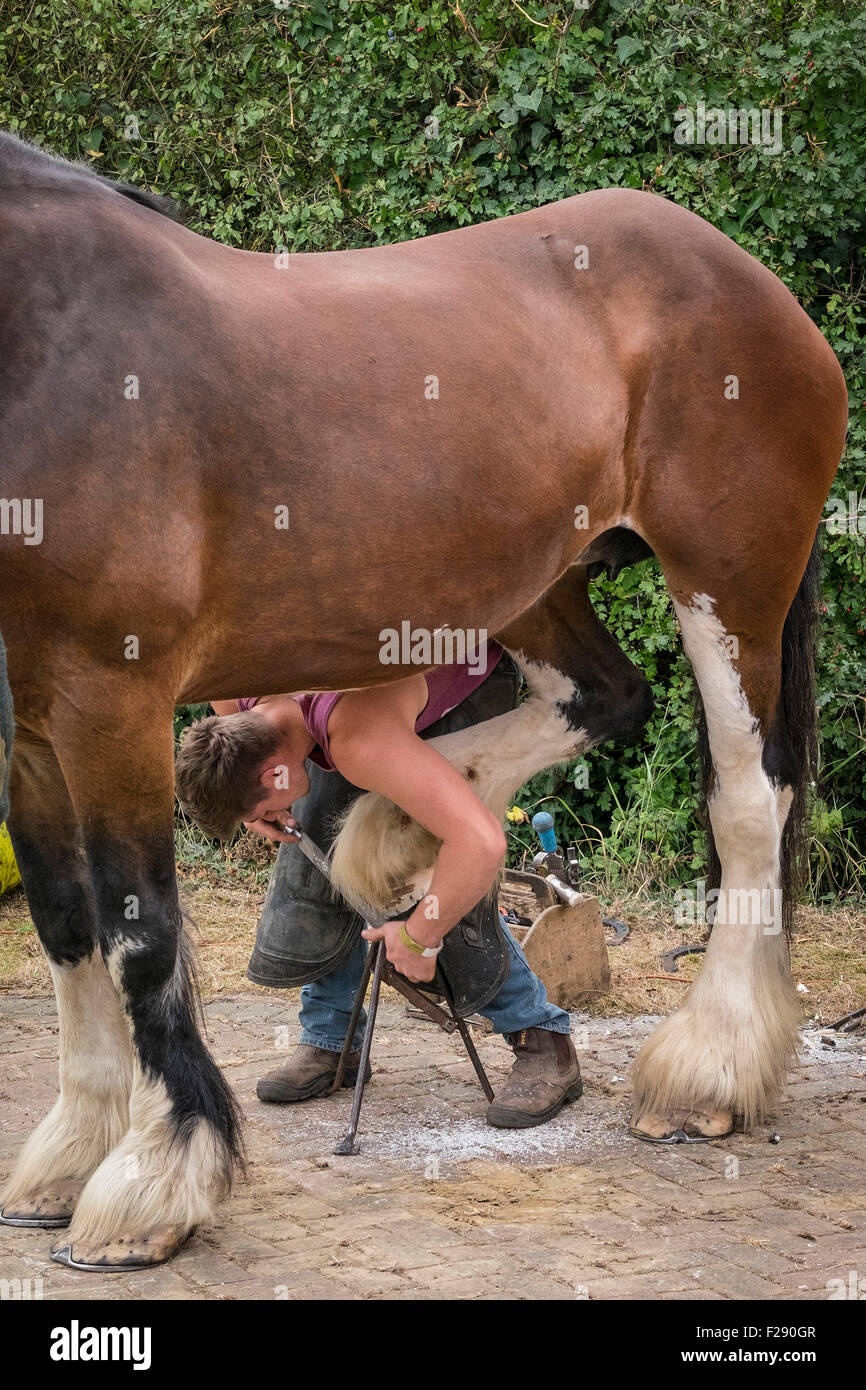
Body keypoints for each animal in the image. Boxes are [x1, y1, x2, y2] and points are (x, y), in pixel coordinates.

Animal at [0, 132, 845, 1273]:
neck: (43, 343)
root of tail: (757, 283)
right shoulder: (31, 727)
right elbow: (64, 928)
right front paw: (69, 1158)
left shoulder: (109, 701)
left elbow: (139, 937)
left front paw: (149, 1186)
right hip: (543, 583)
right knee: (605, 697)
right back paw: (398, 828)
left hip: (727, 589)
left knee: (749, 801)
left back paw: (706, 1072)